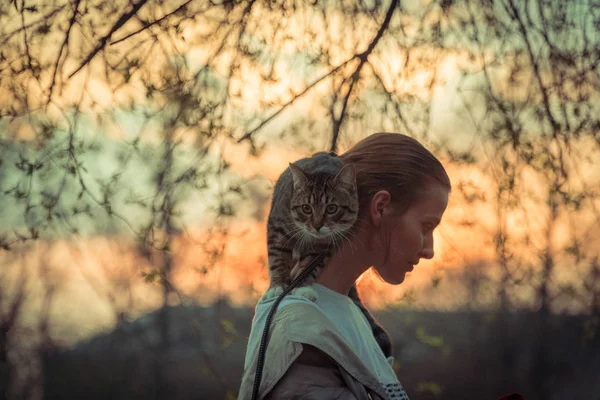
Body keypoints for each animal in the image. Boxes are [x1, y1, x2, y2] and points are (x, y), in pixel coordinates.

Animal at [264, 152, 392, 356]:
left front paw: (302, 286)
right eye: (306, 208)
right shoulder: (277, 228)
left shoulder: (323, 247)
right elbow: (277, 258)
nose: (317, 225)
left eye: (332, 208)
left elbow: (309, 266)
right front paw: (276, 286)